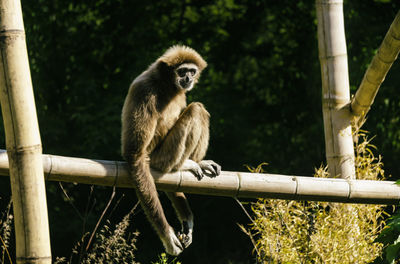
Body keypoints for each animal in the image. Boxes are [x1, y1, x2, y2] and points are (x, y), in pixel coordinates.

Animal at [121, 45, 222, 256]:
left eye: (192, 71)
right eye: (182, 72)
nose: (189, 78)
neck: (165, 84)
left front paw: (187, 220)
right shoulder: (144, 91)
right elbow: (134, 155)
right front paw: (167, 234)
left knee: (198, 109)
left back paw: (198, 162)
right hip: (161, 157)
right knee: (196, 109)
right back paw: (185, 164)